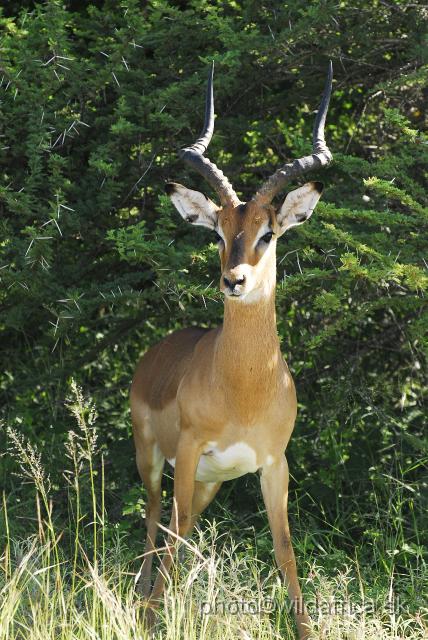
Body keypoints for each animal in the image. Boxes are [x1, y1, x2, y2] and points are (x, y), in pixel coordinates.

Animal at [132, 61, 332, 640]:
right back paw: (143, 606)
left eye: (268, 233)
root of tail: (157, 353)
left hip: (209, 484)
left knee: (178, 534)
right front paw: (154, 618)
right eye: (218, 232)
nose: (234, 280)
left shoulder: (274, 464)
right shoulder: (189, 450)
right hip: (154, 461)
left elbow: (286, 551)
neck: (244, 387)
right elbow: (172, 537)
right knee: (157, 526)